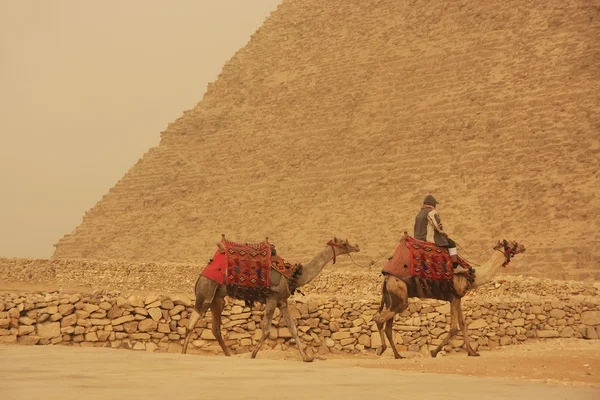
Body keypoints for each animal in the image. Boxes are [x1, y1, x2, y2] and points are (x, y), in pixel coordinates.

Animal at [182, 238, 360, 362]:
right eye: (344, 242)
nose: (357, 246)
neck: (293, 275)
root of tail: (201, 275)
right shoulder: (272, 298)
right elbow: (267, 329)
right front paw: (253, 354)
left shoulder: (282, 301)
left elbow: (293, 329)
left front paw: (307, 357)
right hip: (207, 290)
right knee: (192, 322)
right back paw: (183, 353)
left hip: (218, 298)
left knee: (215, 328)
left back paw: (227, 355)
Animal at [376, 238, 524, 360]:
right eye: (513, 244)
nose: (523, 246)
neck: (473, 276)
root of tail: (386, 278)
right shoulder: (454, 297)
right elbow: (454, 328)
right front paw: (434, 352)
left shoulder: (458, 298)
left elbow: (463, 325)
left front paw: (472, 352)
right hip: (399, 296)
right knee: (380, 319)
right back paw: (382, 349)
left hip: (391, 300)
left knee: (387, 327)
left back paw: (398, 355)